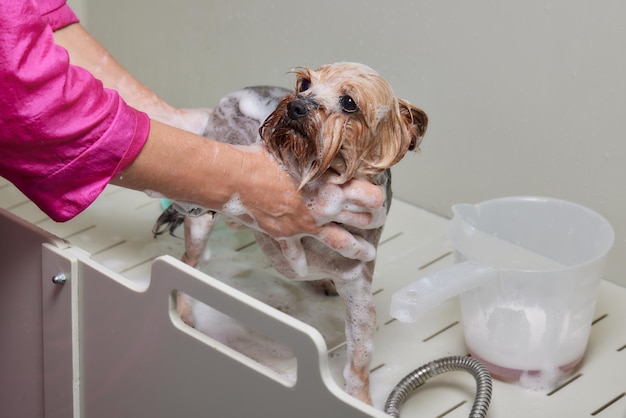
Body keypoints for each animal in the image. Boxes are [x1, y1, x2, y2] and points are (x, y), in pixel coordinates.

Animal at [154, 62, 426, 404]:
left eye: (349, 102)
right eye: (305, 84)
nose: (296, 106)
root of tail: (237, 93)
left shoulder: (358, 284)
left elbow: (361, 355)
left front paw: (359, 399)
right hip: (202, 214)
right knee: (189, 262)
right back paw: (186, 312)